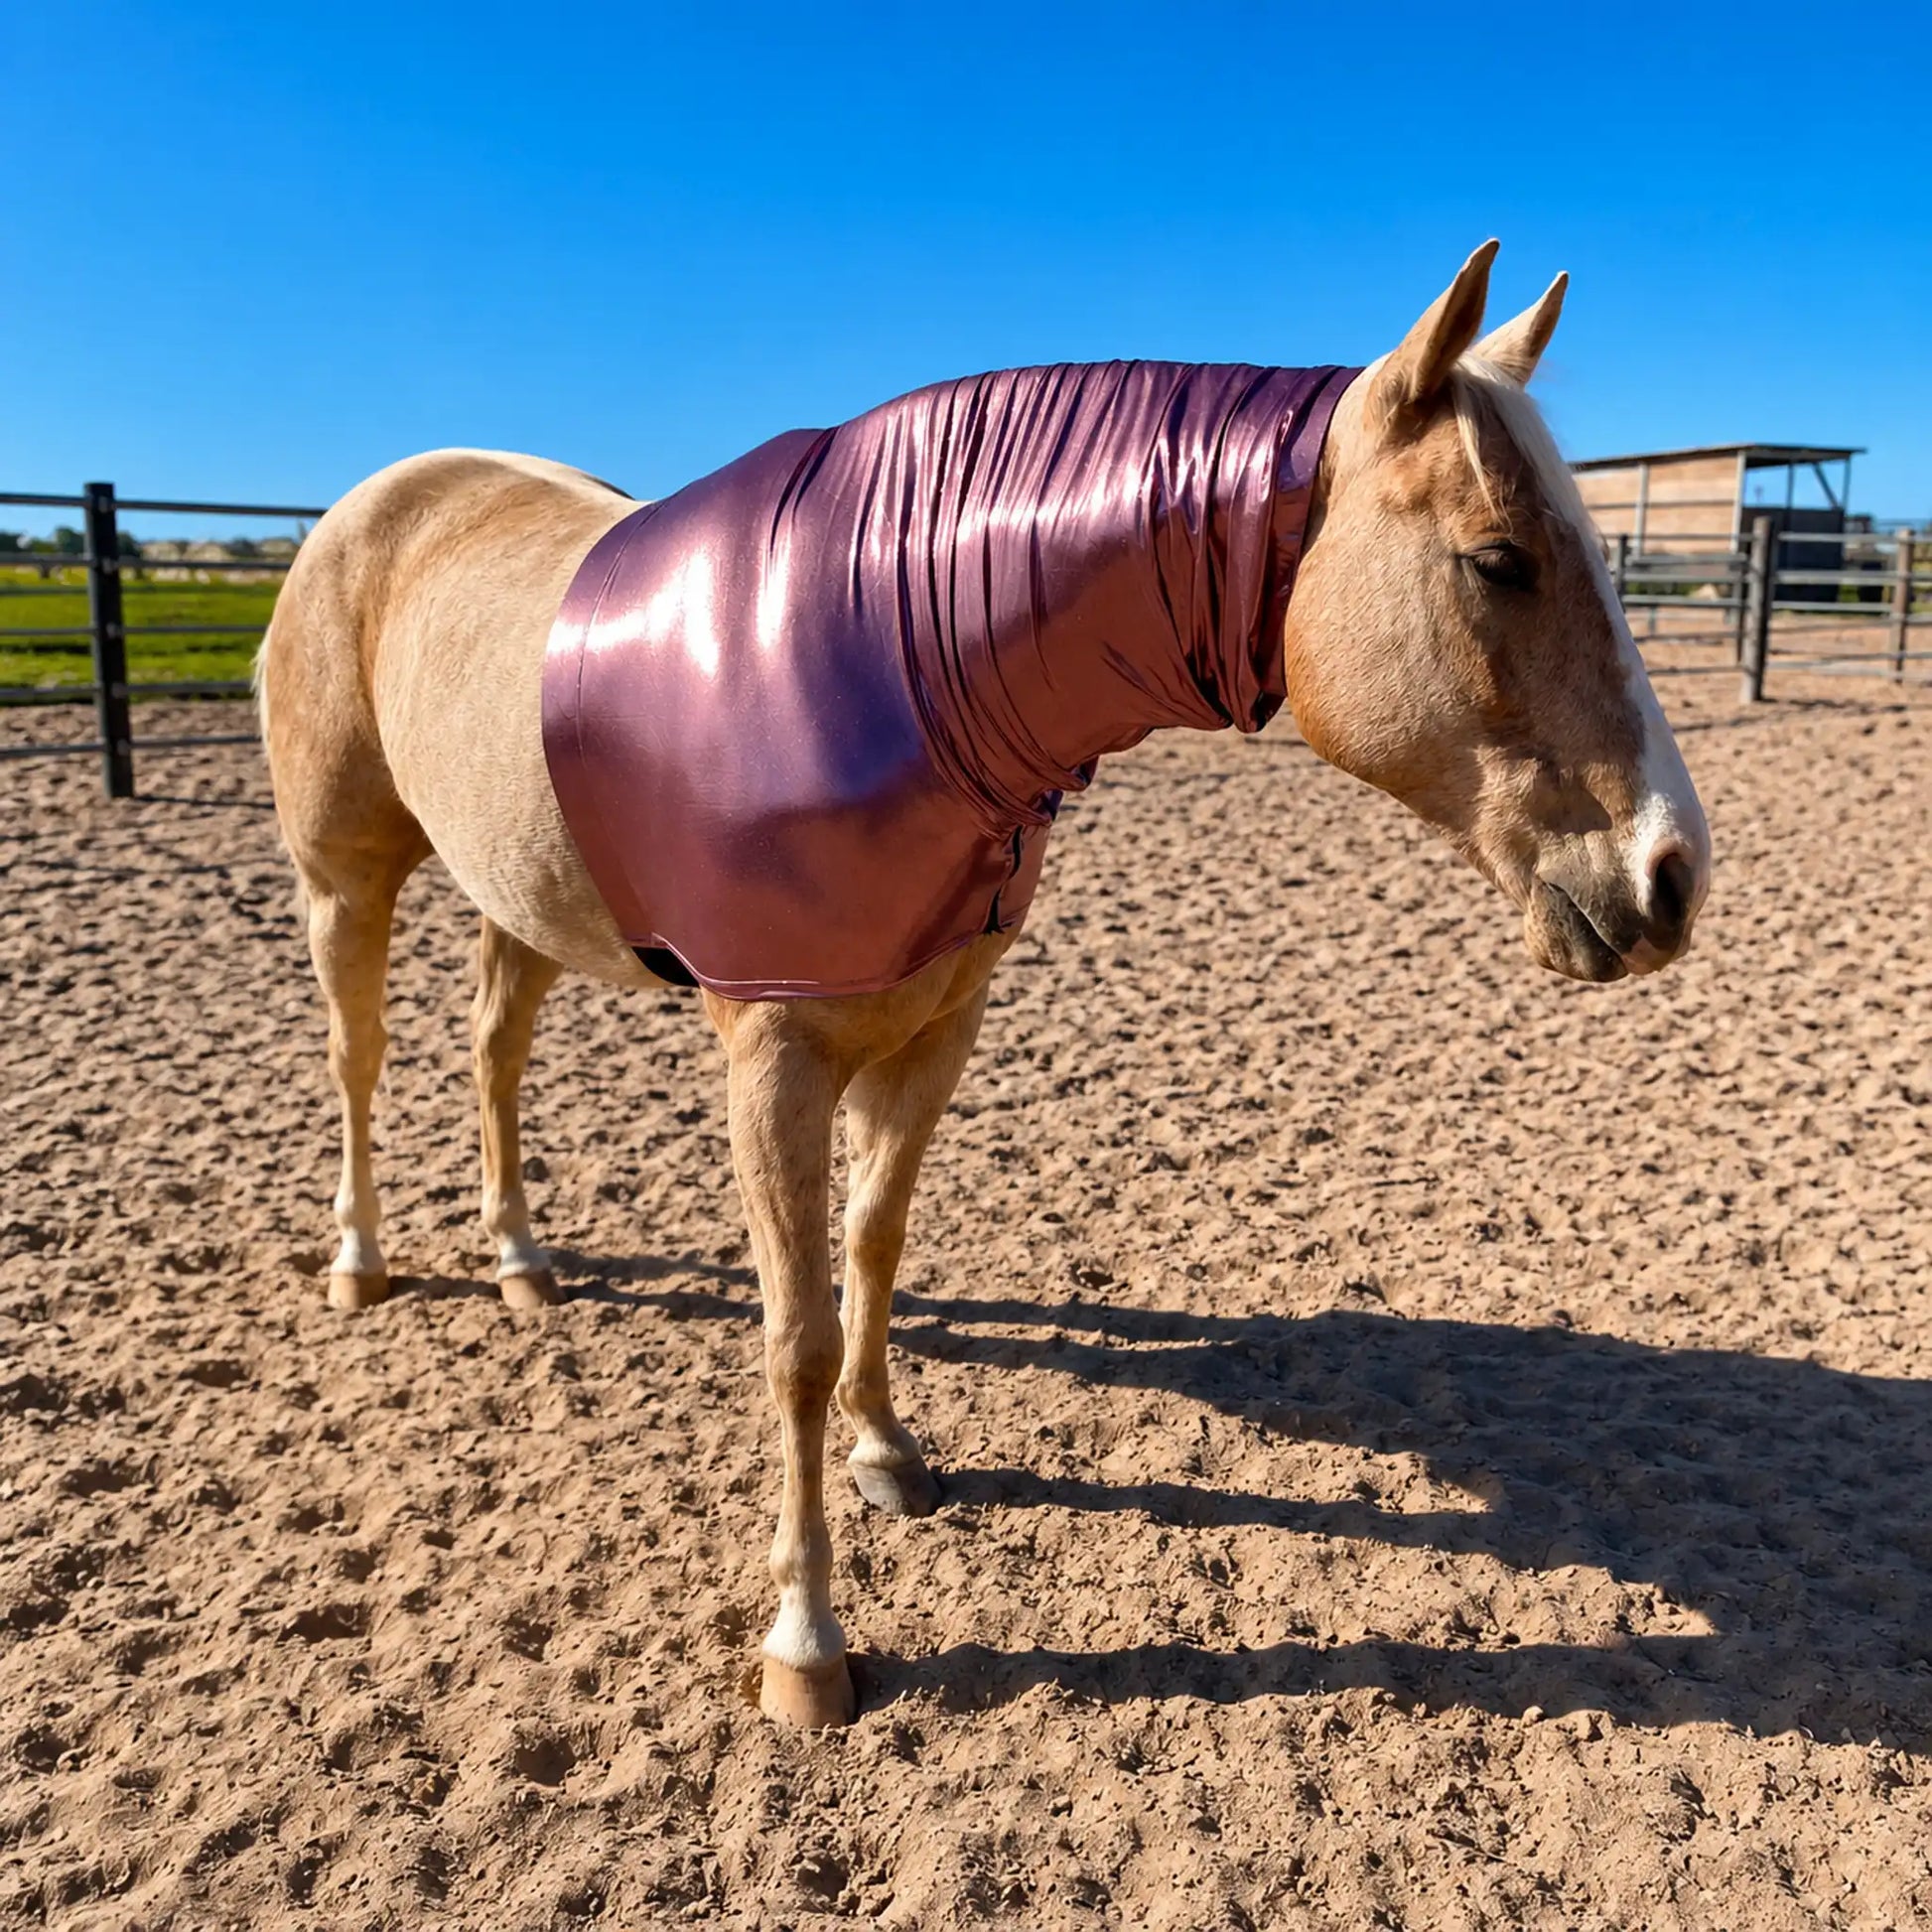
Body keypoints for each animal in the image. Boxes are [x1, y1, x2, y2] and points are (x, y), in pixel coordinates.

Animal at [258, 242, 1711, 1728]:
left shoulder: (934, 1031)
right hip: (344, 876)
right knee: (359, 1056)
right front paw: (805, 1643)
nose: (1669, 876)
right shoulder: (772, 1063)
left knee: (494, 1050)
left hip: (519, 896)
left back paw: (521, 1260)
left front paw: (885, 1450)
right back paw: (361, 1261)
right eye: (1499, 559)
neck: (885, 662)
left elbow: (873, 1250)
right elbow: (793, 1337)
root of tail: (374, 505)